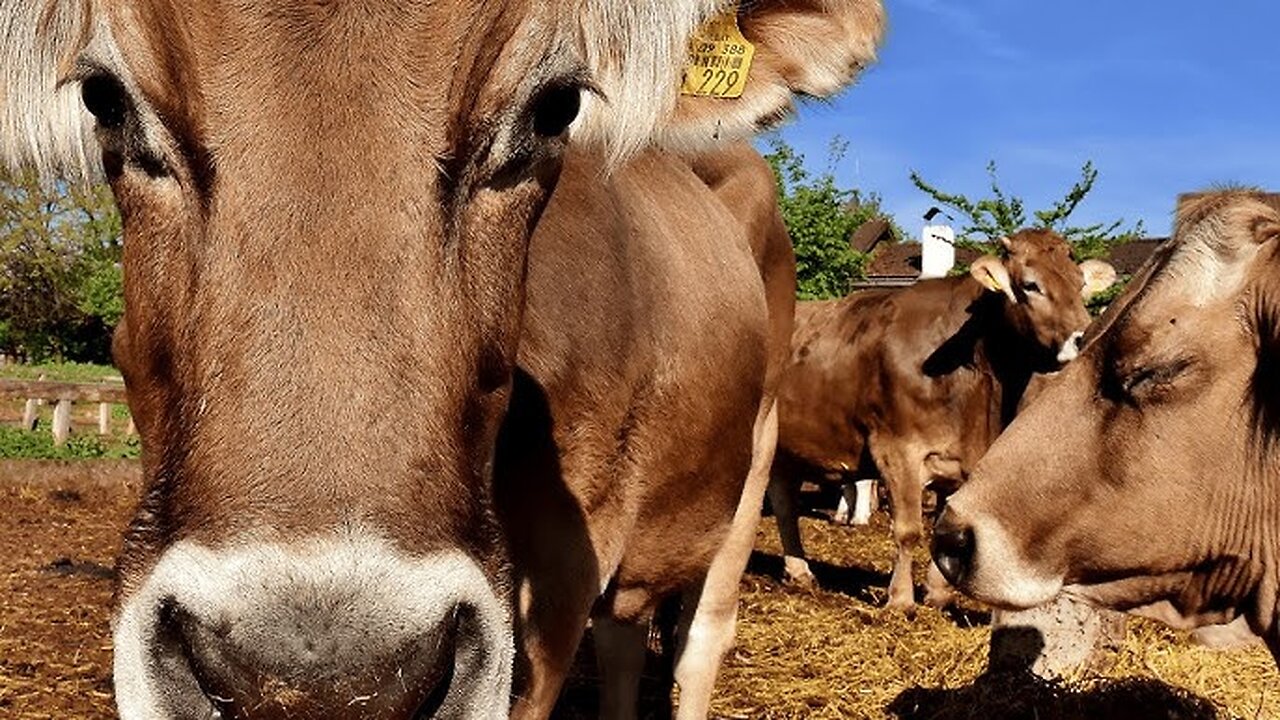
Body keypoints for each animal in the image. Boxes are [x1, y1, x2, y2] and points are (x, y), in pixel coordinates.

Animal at [762, 226, 1116, 607]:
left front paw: (938, 594)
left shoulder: (960, 460)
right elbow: (907, 531)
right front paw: (900, 600)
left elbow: (942, 529)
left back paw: (799, 571)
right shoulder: (897, 449)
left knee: (783, 502)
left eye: (1080, 284)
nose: (1085, 337)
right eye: (1031, 285)